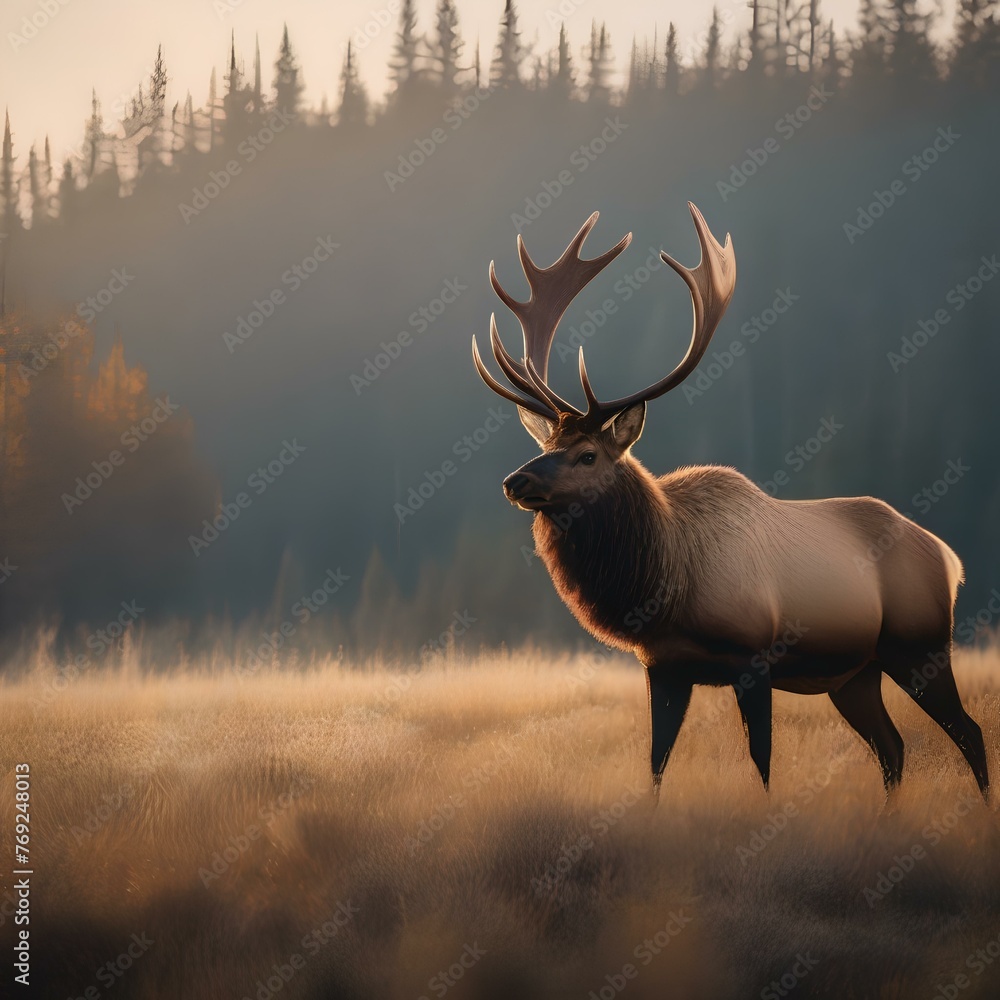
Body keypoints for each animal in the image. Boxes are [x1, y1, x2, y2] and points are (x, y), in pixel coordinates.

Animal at [471, 203, 989, 799]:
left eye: (587, 455)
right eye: (546, 445)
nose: (514, 482)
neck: (668, 582)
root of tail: (949, 560)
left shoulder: (754, 657)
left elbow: (762, 762)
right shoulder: (663, 666)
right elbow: (656, 763)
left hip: (920, 645)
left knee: (969, 733)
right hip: (856, 673)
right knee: (893, 745)